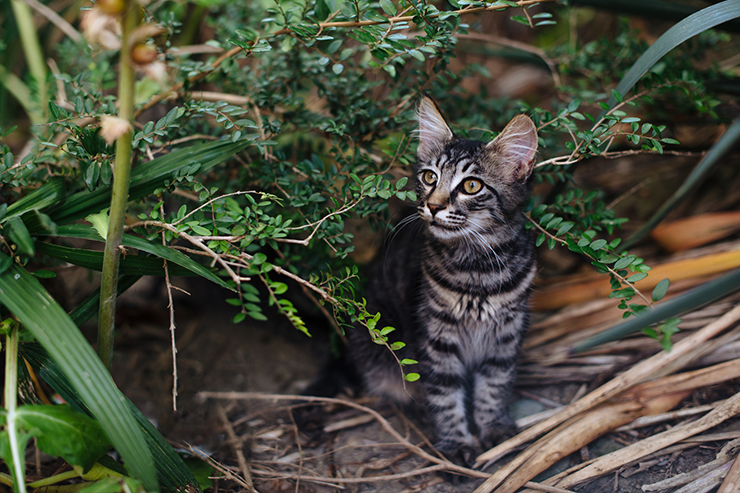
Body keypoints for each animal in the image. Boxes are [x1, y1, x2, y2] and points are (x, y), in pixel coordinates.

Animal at [346, 95, 536, 466]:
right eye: (429, 177)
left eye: (472, 185)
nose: (433, 207)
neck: (476, 269)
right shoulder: (435, 337)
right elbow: (445, 395)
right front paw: (455, 444)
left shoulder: (506, 335)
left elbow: (494, 386)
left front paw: (494, 429)